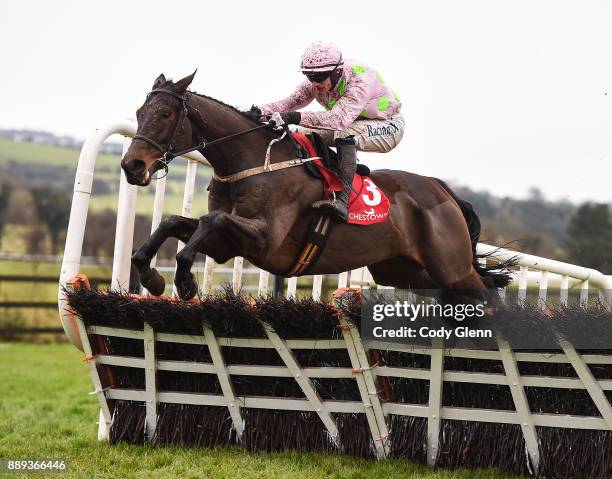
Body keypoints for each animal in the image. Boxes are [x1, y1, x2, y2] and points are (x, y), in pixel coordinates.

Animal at [120, 72, 512, 302]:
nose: (131, 166)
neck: (251, 160)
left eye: (165, 114)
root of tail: (443, 191)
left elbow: (209, 221)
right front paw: (152, 276)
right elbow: (174, 222)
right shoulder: (228, 246)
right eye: (139, 113)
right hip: (406, 270)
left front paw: (185, 281)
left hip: (452, 268)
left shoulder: (264, 239)